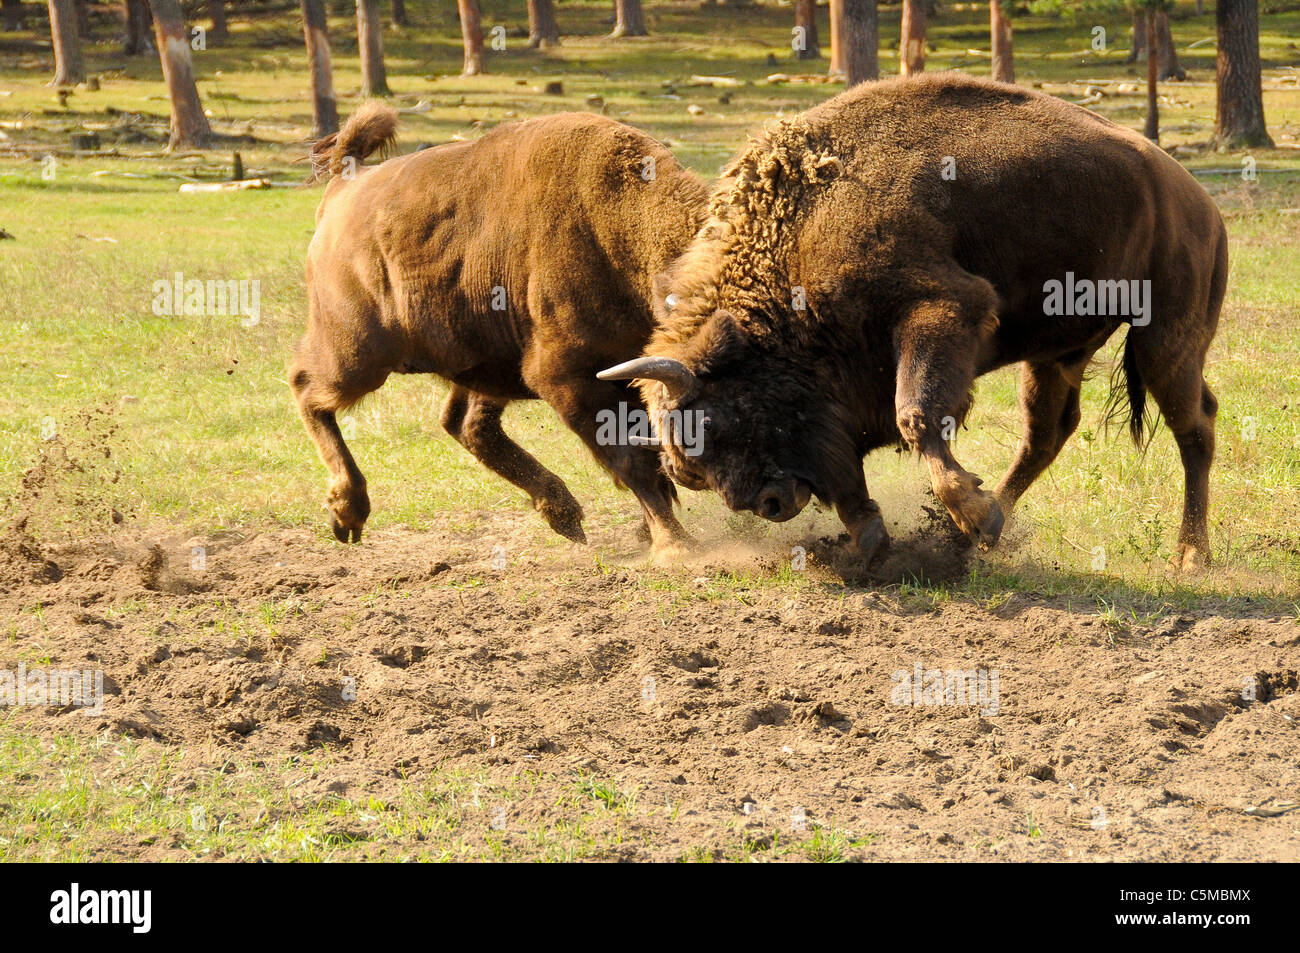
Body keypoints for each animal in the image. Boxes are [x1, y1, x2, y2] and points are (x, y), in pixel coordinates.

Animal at [291, 103, 707, 551]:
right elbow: (633, 460)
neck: (620, 228)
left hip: (482, 357)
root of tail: (344, 183)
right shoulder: (566, 378)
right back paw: (348, 511)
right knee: (307, 388)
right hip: (358, 355)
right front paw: (675, 546)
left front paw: (653, 534)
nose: (697, 473)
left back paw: (563, 514)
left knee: (465, 424)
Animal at [600, 76, 1227, 564]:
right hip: (1055, 355)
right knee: (1046, 435)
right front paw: (875, 542)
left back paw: (1189, 556)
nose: (770, 505)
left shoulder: (943, 310)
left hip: (1165, 338)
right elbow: (852, 469)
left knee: (1194, 426)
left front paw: (959, 512)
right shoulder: (839, 401)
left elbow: (917, 413)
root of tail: (1198, 201)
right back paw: (983, 531)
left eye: (712, 423)